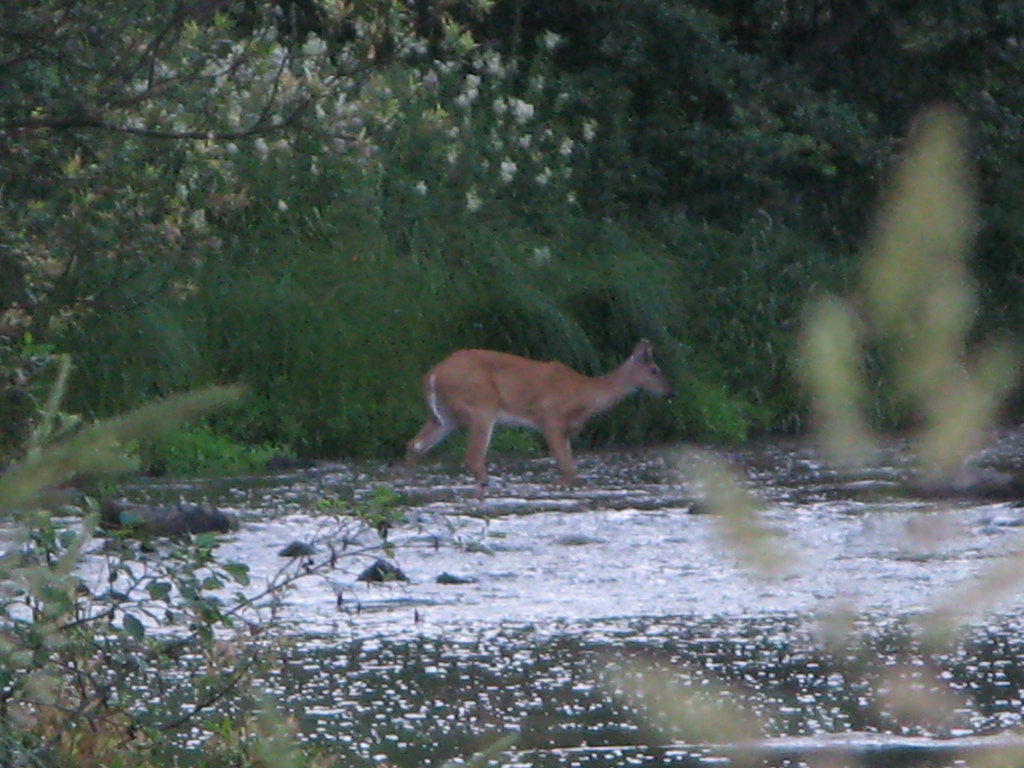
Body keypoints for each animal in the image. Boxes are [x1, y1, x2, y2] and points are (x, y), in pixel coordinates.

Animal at [404, 339, 675, 496]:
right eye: (655, 370)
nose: (671, 392)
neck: (585, 394)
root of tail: (433, 374)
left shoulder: (565, 431)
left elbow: (572, 469)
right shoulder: (550, 420)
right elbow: (567, 468)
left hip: (445, 417)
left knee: (416, 444)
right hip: (481, 406)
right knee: (472, 457)